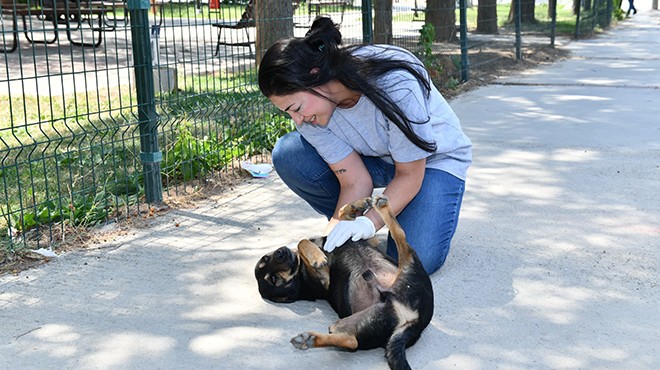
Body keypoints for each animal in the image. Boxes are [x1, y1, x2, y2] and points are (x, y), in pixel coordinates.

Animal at [255, 195, 436, 368]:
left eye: (266, 258)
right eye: (274, 279)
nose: (281, 252)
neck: (300, 274)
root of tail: (413, 323)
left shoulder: (370, 240)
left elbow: (341, 215)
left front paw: (357, 205)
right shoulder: (324, 279)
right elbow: (302, 242)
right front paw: (317, 257)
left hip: (408, 271)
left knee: (402, 238)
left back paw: (382, 206)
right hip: (356, 324)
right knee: (352, 342)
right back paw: (309, 340)